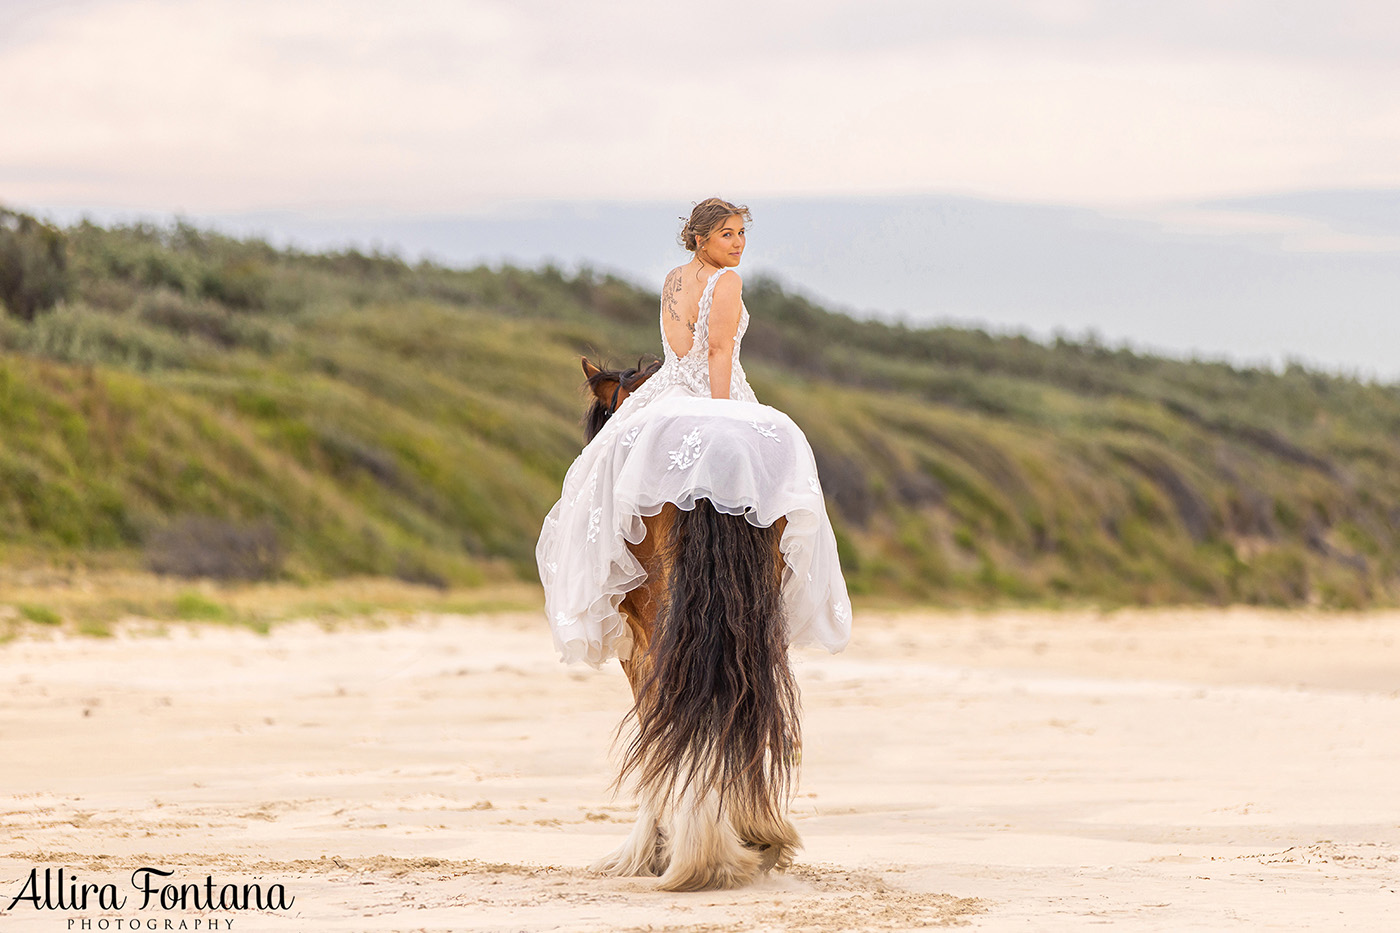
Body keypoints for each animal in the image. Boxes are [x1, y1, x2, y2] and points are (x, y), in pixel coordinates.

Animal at [574, 354, 806, 885]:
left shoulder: (637, 638)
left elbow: (653, 714)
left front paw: (650, 848)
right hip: (756, 617)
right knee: (744, 697)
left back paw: (702, 852)